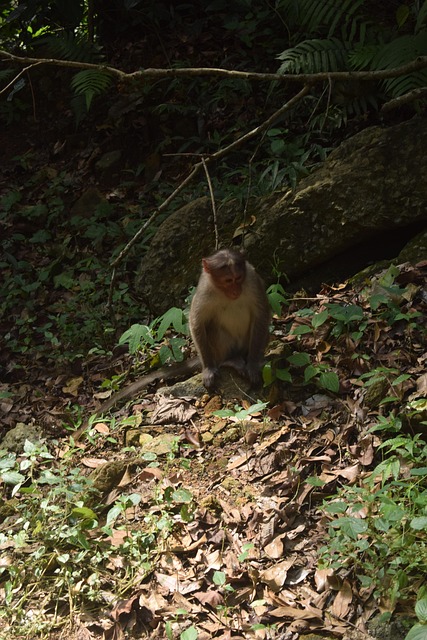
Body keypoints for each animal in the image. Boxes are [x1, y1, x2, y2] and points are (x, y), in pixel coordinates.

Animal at [189, 248, 270, 390]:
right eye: (228, 280)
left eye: (238, 278)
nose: (236, 291)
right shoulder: (204, 289)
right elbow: (197, 323)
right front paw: (208, 368)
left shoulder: (252, 279)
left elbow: (262, 315)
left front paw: (253, 364)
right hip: (219, 352)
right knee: (214, 330)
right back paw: (230, 360)